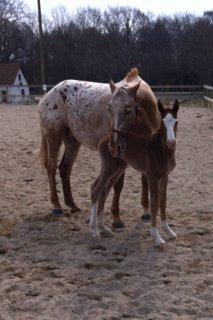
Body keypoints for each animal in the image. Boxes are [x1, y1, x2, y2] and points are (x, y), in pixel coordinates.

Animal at [39, 69, 161, 226]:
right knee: (51, 167)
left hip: (72, 141)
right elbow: (118, 185)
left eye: (129, 110)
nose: (114, 145)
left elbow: (144, 179)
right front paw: (116, 218)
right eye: (109, 109)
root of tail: (48, 95)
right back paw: (57, 206)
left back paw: (72, 205)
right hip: (54, 137)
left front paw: (146, 211)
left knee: (65, 168)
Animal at [90, 100, 180, 248]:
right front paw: (157, 237)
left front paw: (169, 231)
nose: (171, 142)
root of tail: (106, 141)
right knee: (95, 189)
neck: (161, 149)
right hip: (108, 167)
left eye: (176, 121)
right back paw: (94, 231)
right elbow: (154, 204)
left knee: (104, 191)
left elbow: (163, 202)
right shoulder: (152, 177)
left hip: (118, 168)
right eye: (162, 123)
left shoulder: (164, 177)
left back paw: (104, 228)